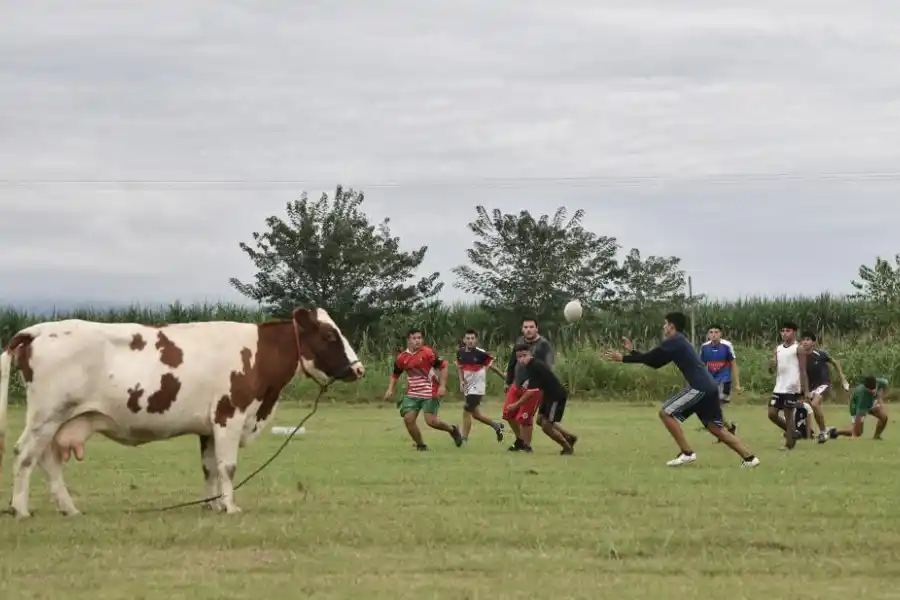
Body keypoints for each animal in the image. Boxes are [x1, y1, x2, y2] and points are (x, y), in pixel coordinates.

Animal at [0, 307, 364, 518]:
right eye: (329, 334)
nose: (358, 369)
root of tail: (38, 329)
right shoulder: (229, 416)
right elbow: (228, 466)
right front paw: (230, 507)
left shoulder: (208, 427)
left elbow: (209, 467)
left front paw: (212, 504)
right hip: (46, 415)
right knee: (24, 455)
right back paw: (21, 509)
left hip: (59, 420)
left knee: (48, 460)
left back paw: (69, 508)